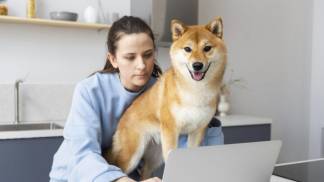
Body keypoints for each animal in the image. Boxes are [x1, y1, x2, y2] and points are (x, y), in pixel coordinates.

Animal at [105, 16, 227, 179]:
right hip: (131, 155)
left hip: (155, 156)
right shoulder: (171, 130)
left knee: (145, 172)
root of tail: (122, 119)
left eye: (207, 48)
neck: (195, 91)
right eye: (187, 49)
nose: (197, 65)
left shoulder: (197, 131)